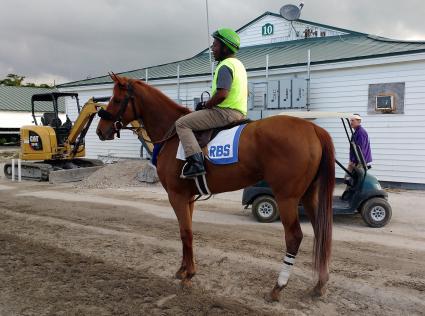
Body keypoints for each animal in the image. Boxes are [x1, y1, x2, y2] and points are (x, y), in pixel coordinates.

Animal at [96, 74, 334, 302]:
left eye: (116, 100)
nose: (100, 131)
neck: (173, 133)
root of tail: (313, 128)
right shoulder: (187, 197)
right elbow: (186, 232)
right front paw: (183, 270)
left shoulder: (176, 195)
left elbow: (185, 232)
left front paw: (189, 275)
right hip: (308, 197)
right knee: (321, 231)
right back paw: (319, 285)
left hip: (287, 199)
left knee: (294, 237)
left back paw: (278, 287)